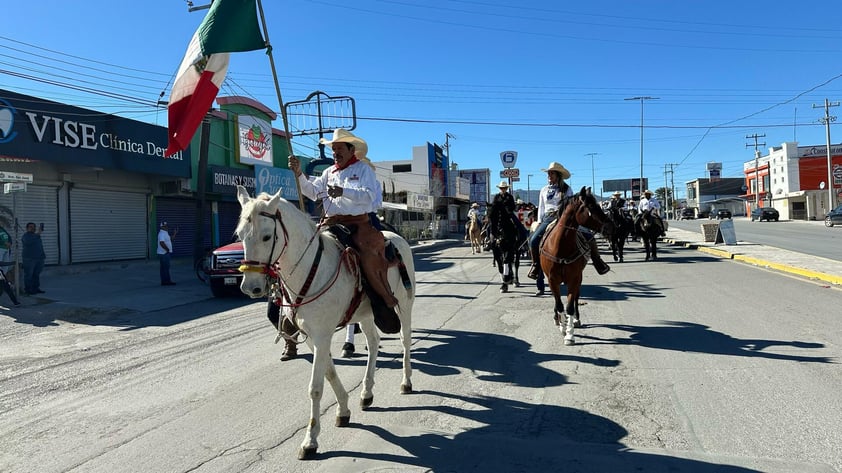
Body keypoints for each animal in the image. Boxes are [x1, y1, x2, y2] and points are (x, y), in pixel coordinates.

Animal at [235, 186, 412, 460]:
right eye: (240, 235)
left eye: (266, 236)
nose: (250, 287)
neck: (310, 270)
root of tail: (397, 237)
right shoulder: (313, 337)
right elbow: (329, 373)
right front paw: (343, 410)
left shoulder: (321, 336)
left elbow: (315, 388)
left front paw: (310, 440)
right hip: (367, 314)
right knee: (373, 343)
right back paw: (366, 393)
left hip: (404, 304)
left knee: (405, 341)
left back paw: (406, 382)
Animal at [540, 186, 608, 344]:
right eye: (591, 206)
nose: (610, 225)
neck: (560, 247)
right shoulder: (552, 279)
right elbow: (559, 304)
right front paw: (562, 327)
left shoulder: (574, 278)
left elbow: (570, 305)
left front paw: (569, 334)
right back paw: (557, 319)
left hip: (579, 277)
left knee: (576, 297)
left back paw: (576, 320)